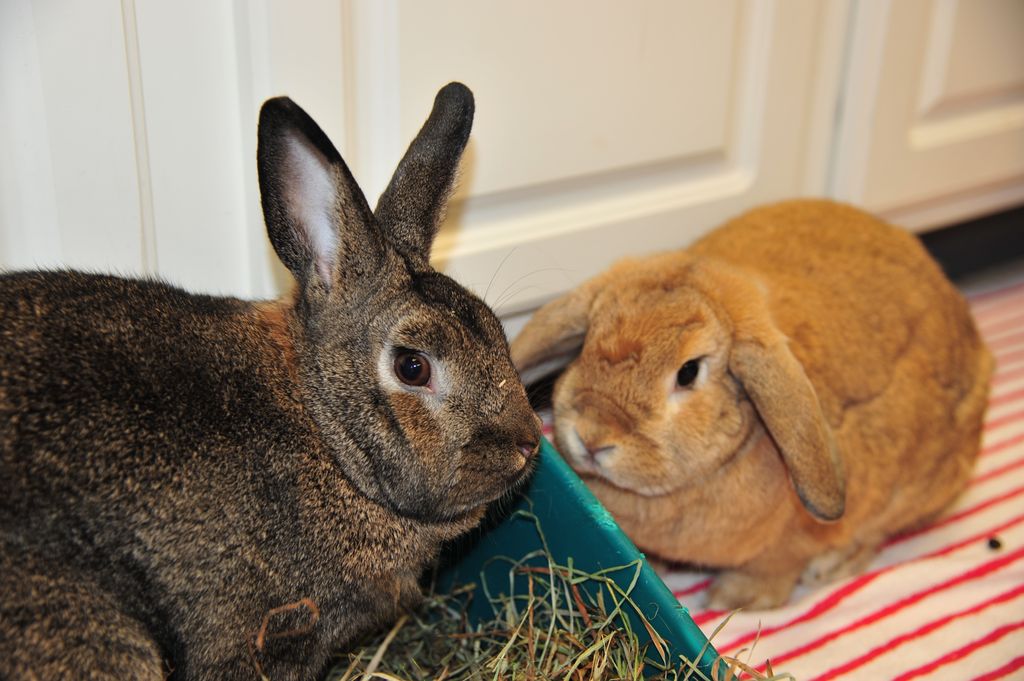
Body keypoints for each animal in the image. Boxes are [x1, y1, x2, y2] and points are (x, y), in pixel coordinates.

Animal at [512, 199, 991, 606]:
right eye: (586, 343)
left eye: (688, 372)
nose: (592, 437)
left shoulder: (792, 543)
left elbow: (775, 568)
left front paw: (735, 600)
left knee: (877, 532)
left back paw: (831, 567)